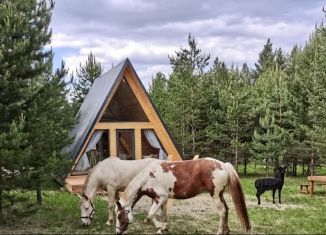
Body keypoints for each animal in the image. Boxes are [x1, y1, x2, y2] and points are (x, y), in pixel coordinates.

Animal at [116, 158, 251, 235]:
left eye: (119, 216)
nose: (117, 232)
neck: (149, 177)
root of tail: (223, 165)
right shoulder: (158, 199)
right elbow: (159, 215)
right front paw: (162, 229)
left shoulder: (161, 198)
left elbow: (150, 215)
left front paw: (162, 226)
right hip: (220, 195)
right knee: (226, 210)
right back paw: (226, 231)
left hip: (216, 195)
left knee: (222, 211)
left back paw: (219, 232)